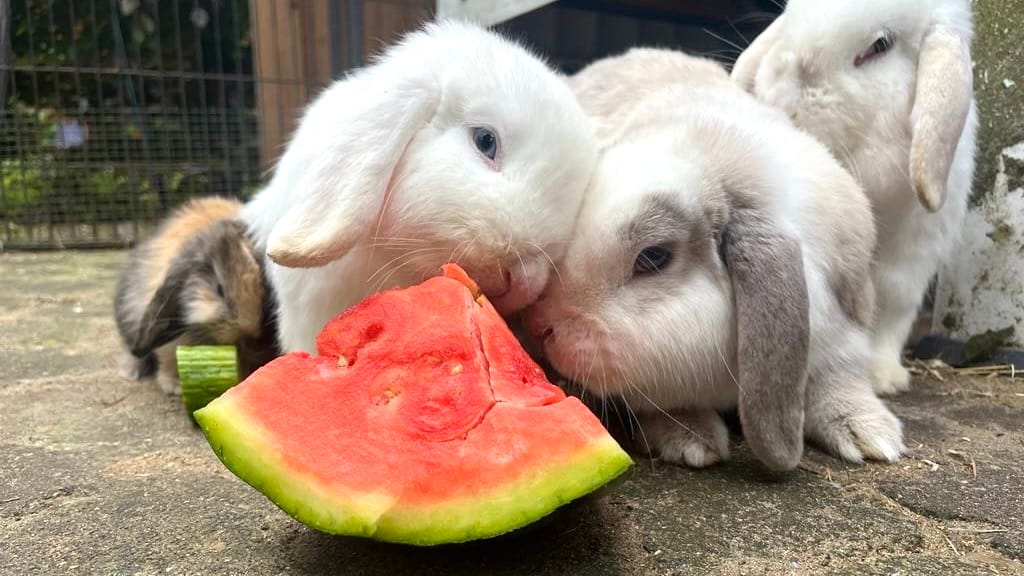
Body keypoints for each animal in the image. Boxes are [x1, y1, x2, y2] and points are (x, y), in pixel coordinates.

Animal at [113, 196, 276, 393]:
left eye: (265, 291)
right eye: (219, 288)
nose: (247, 332)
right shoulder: (170, 343)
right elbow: (167, 361)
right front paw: (173, 386)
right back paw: (129, 372)